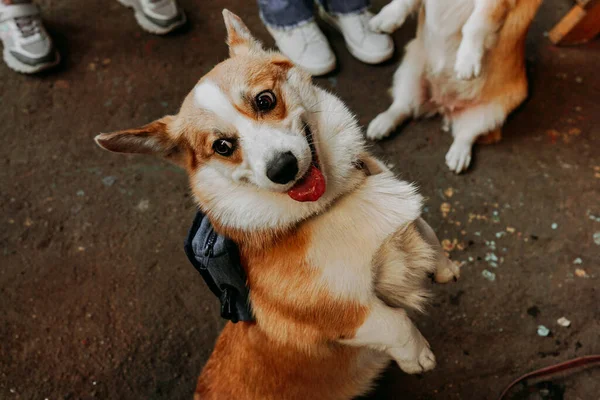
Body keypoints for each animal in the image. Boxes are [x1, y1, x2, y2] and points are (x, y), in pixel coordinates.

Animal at [94, 10, 460, 400]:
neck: (332, 203)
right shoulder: (349, 313)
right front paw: (418, 357)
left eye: (265, 100)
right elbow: (396, 322)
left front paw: (445, 270)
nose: (282, 169)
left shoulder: (407, 218)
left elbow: (428, 233)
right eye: (222, 146)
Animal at [366, 0, 544, 171]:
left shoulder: (492, 5)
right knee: (403, 106)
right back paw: (383, 123)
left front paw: (467, 59)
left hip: (494, 111)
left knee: (466, 134)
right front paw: (386, 17)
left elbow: (475, 25)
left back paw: (459, 155)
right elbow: (403, 2)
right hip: (410, 68)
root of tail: (442, 105)